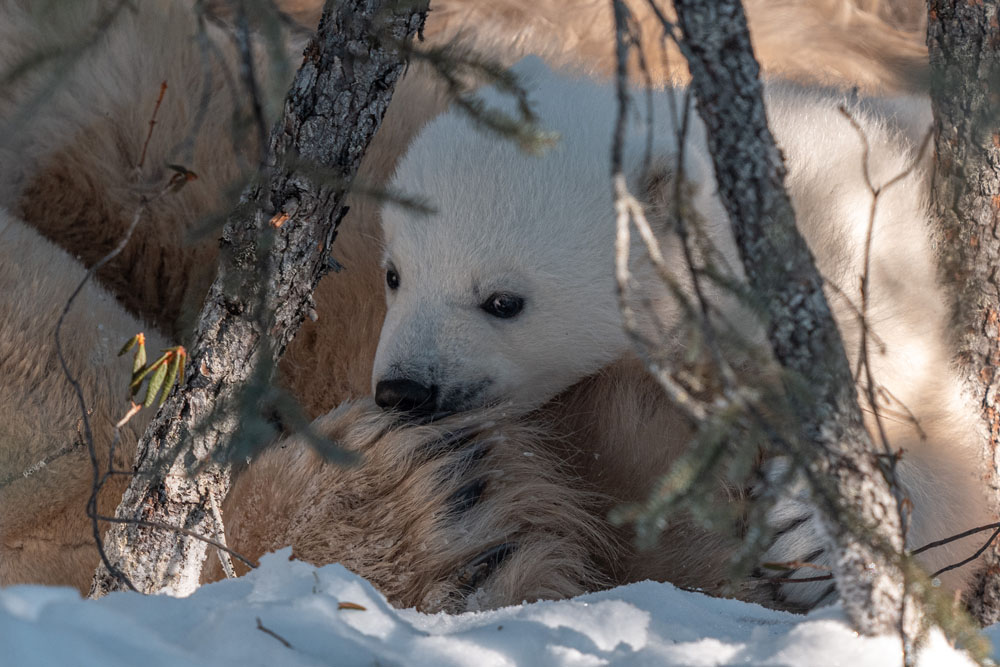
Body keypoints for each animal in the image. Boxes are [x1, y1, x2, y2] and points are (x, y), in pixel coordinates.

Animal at [376, 60, 992, 608]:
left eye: (503, 301)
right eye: (394, 274)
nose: (403, 389)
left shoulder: (869, 289)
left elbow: (949, 449)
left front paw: (810, 531)